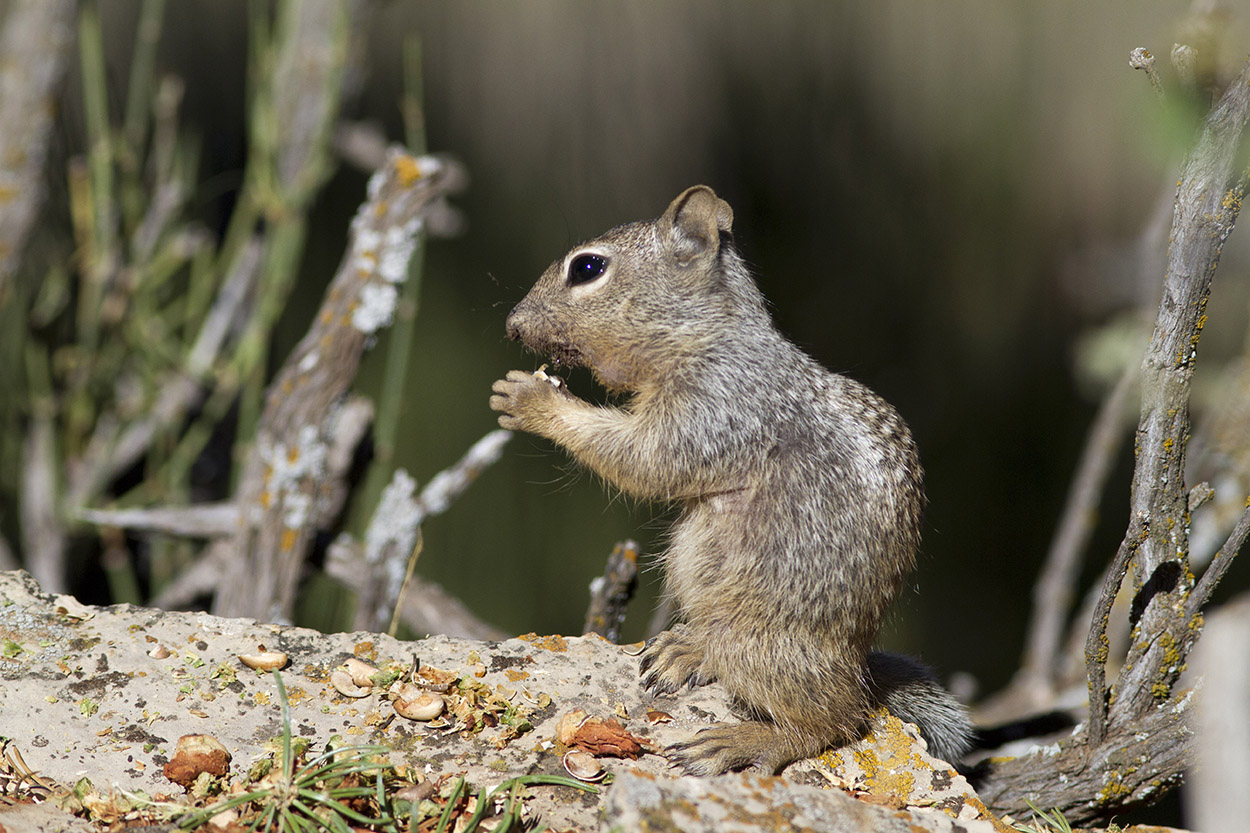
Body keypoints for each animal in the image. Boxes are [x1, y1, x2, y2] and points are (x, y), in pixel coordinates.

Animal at [490, 185, 972, 775]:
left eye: (587, 267)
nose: (512, 325)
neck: (706, 336)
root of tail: (856, 665)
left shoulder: (718, 408)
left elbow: (642, 458)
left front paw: (531, 399)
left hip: (761, 642)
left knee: (835, 720)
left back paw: (743, 741)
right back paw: (689, 650)